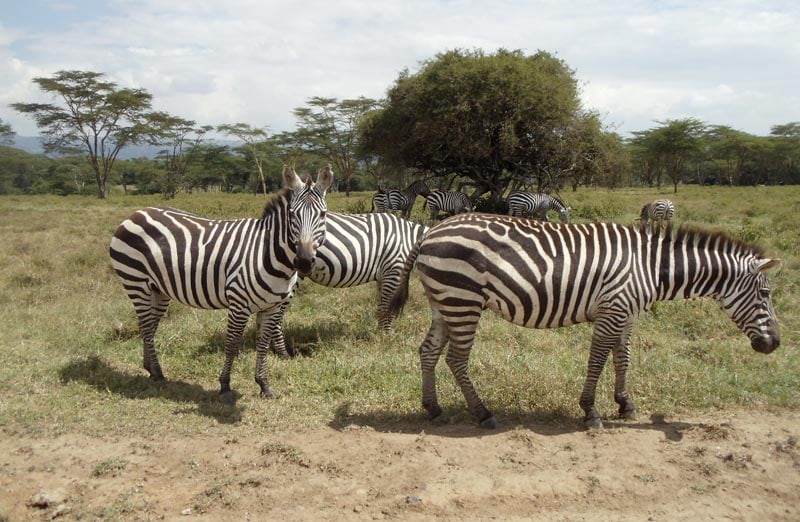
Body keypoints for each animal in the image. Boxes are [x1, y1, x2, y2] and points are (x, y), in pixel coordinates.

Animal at [108, 165, 332, 404]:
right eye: (292, 214)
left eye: (323, 214)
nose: (304, 261)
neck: (267, 253)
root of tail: (137, 213)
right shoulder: (239, 304)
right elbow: (232, 345)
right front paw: (225, 386)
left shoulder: (271, 307)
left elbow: (262, 344)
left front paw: (264, 385)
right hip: (135, 282)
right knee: (146, 327)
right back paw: (158, 374)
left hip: (157, 289)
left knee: (148, 326)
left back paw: (150, 369)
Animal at [260, 210, 428, 354]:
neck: (411, 240)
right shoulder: (393, 270)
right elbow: (386, 309)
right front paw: (386, 338)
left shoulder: (384, 276)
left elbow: (382, 307)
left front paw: (381, 334)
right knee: (276, 315)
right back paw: (281, 351)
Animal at [390, 213, 784, 428]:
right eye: (766, 294)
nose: (775, 344)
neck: (651, 267)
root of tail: (430, 232)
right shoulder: (613, 309)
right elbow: (597, 360)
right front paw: (591, 410)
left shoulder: (626, 312)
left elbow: (623, 358)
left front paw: (625, 404)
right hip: (463, 299)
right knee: (456, 359)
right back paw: (483, 413)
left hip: (445, 302)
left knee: (428, 352)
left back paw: (434, 409)